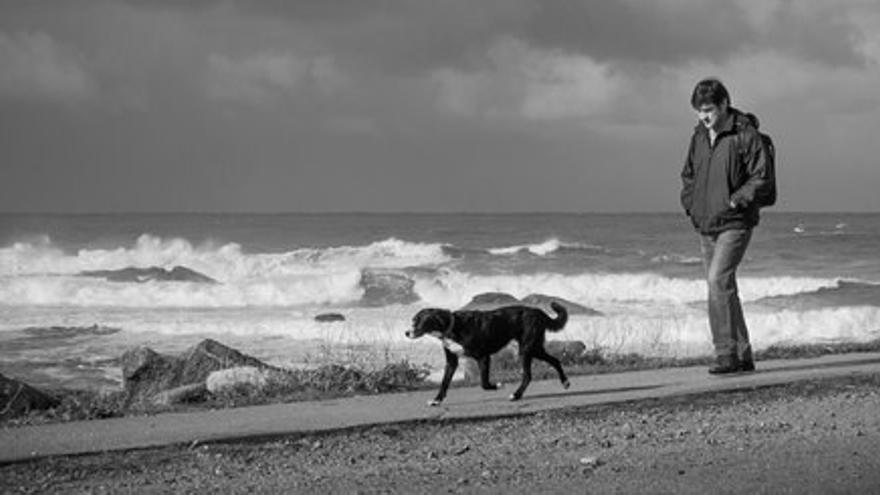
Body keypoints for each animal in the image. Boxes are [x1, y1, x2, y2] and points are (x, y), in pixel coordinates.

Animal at [408, 302, 572, 406]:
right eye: (413, 320)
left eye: (419, 321)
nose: (406, 333)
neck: (452, 326)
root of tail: (539, 312)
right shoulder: (451, 362)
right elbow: (444, 383)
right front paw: (436, 400)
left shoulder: (483, 357)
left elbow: (484, 383)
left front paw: (498, 385)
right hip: (534, 348)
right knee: (555, 360)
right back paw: (565, 382)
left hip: (527, 349)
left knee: (528, 375)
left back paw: (516, 395)